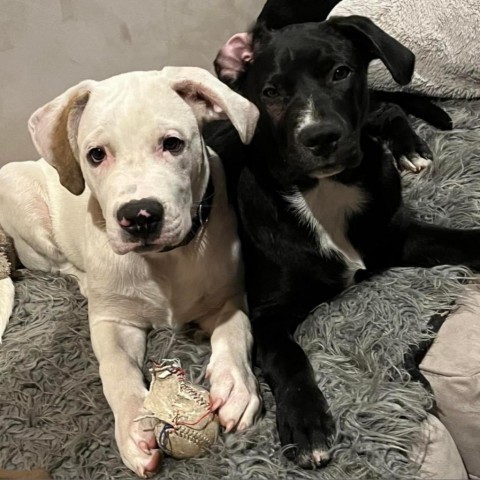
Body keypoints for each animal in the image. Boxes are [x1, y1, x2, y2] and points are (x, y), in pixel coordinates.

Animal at [0, 66, 260, 476]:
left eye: (173, 144)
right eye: (96, 155)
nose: (139, 216)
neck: (164, 261)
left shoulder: (228, 296)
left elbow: (235, 331)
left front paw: (235, 384)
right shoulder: (114, 322)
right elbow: (116, 368)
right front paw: (135, 425)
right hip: (21, 201)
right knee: (60, 265)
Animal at [208, 15, 480, 468]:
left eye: (340, 72)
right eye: (270, 92)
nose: (320, 137)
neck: (324, 192)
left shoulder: (400, 238)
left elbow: (467, 241)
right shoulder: (268, 314)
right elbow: (289, 358)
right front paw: (305, 421)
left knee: (386, 106)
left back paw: (413, 146)